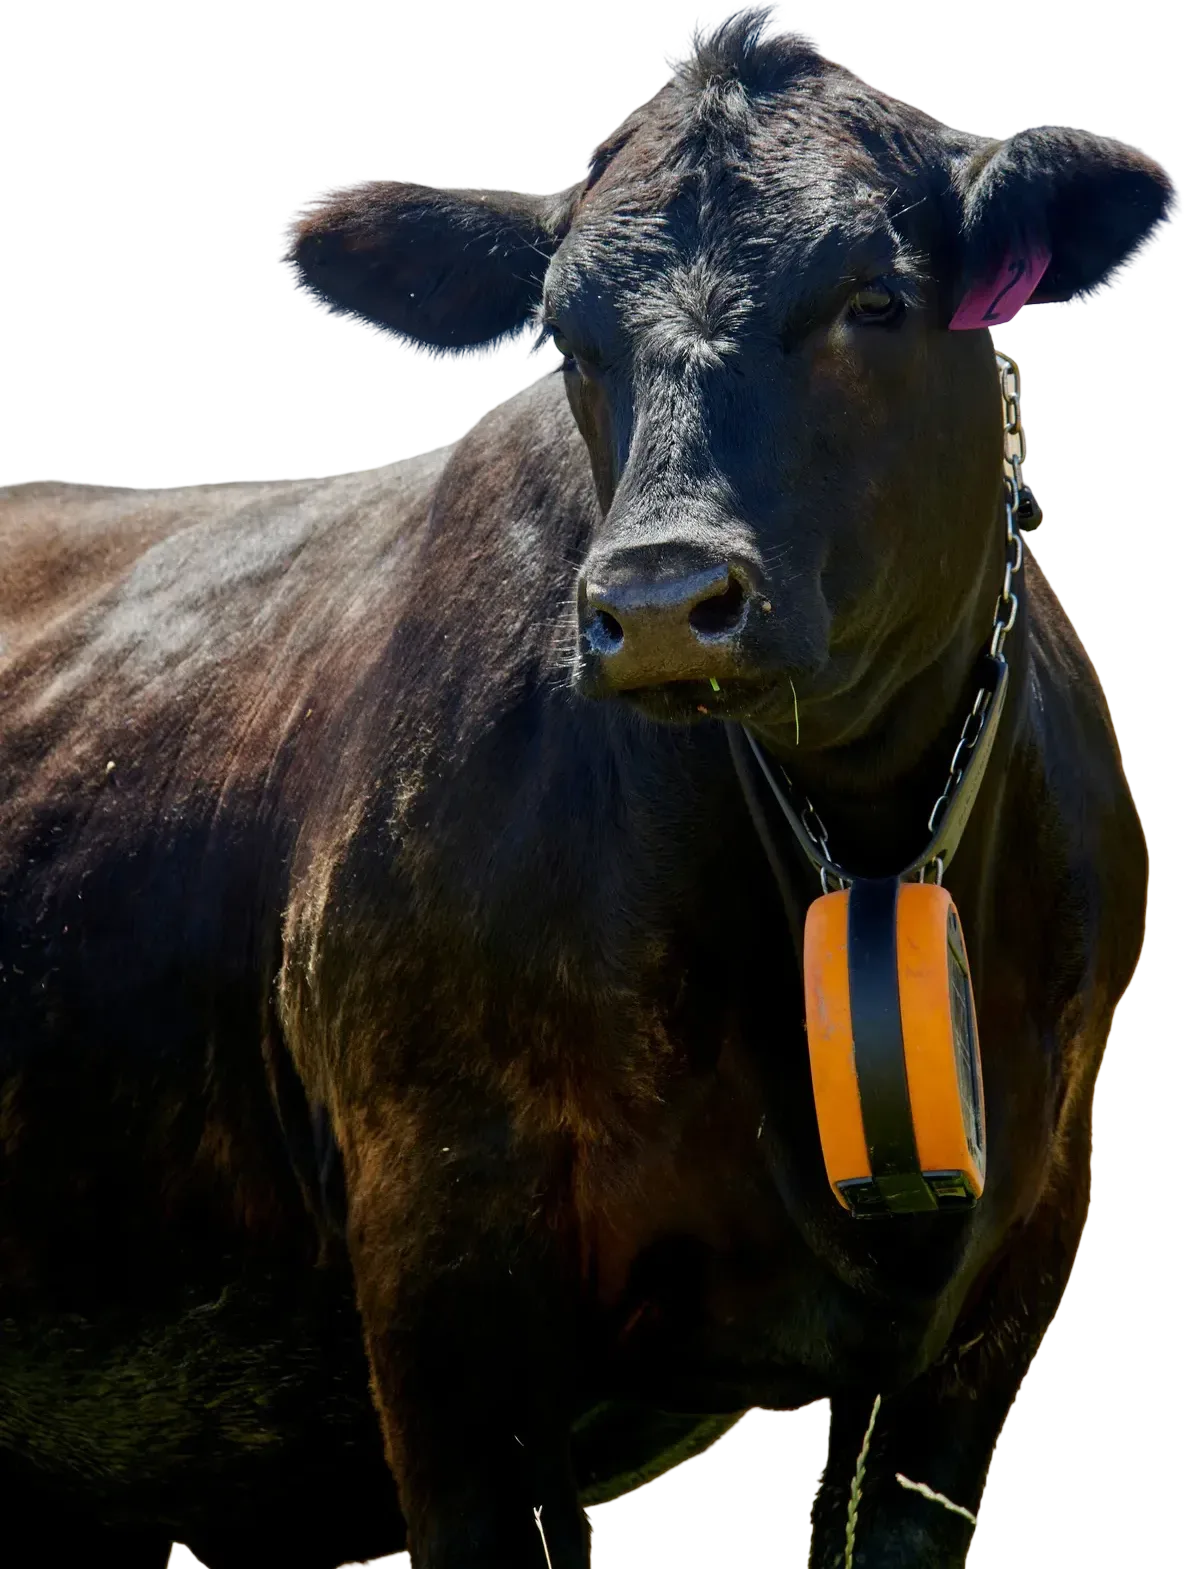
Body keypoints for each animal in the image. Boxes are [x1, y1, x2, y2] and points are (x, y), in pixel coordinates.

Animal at [1, 5, 1177, 1567]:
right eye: (564, 335)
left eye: (873, 297)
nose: (662, 600)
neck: (853, 841)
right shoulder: (445, 1245)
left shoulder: (1010, 1267)